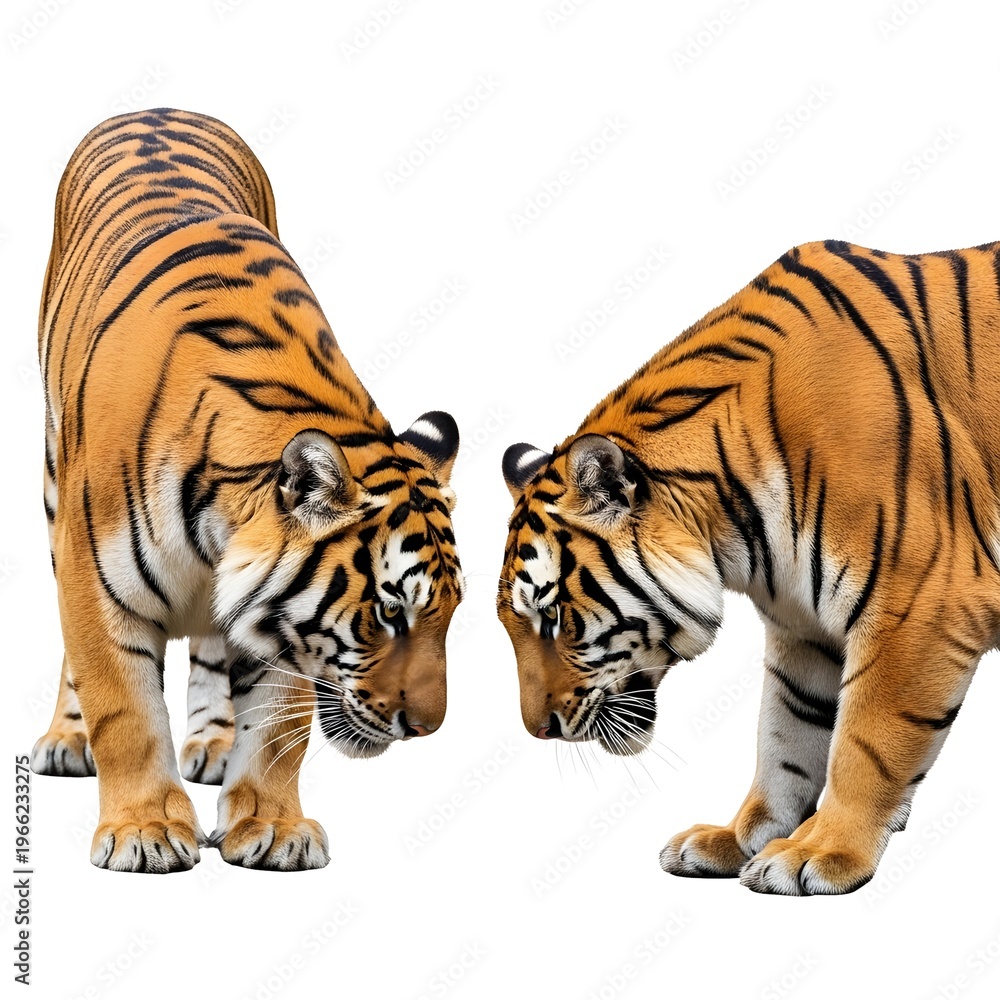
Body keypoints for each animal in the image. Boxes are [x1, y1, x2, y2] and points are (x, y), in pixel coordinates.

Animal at [32, 108, 464, 873]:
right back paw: (67, 738)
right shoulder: (93, 576)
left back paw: (212, 742)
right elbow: (127, 709)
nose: (426, 726)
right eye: (390, 615)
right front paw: (145, 831)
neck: (218, 522)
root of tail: (159, 108)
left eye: (450, 615)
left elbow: (279, 726)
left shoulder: (280, 620)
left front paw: (272, 825)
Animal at [497, 238, 1000, 895]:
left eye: (553, 617)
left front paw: (819, 852)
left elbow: (863, 745)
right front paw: (737, 840)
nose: (539, 729)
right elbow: (785, 740)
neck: (735, 527)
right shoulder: (803, 629)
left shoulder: (920, 607)